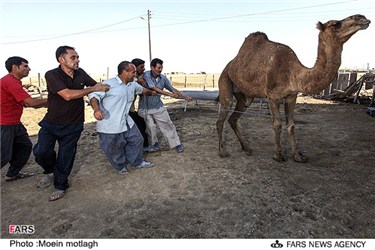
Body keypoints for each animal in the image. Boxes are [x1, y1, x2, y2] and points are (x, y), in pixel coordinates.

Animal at [216, 14, 372, 162]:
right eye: (336, 24)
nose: (362, 18)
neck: (293, 73)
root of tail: (228, 66)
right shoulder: (273, 97)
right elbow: (277, 124)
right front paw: (278, 155)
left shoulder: (292, 96)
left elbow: (291, 126)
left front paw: (298, 156)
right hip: (224, 81)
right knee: (222, 117)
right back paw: (222, 151)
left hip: (245, 97)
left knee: (234, 118)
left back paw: (246, 147)